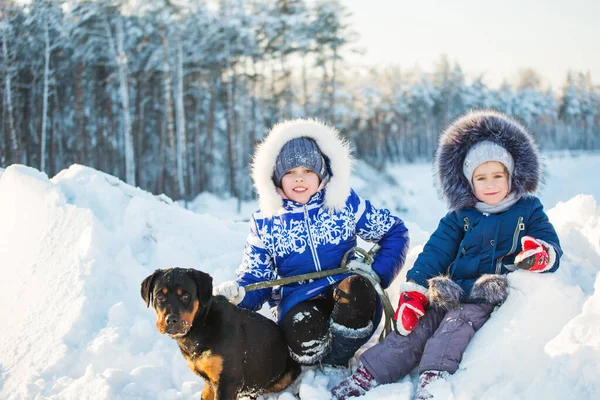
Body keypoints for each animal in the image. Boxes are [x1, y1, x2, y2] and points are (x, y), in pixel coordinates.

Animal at [141, 268, 300, 400]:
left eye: (186, 296)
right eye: (159, 296)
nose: (171, 320)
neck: (201, 326)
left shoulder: (227, 380)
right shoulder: (212, 380)